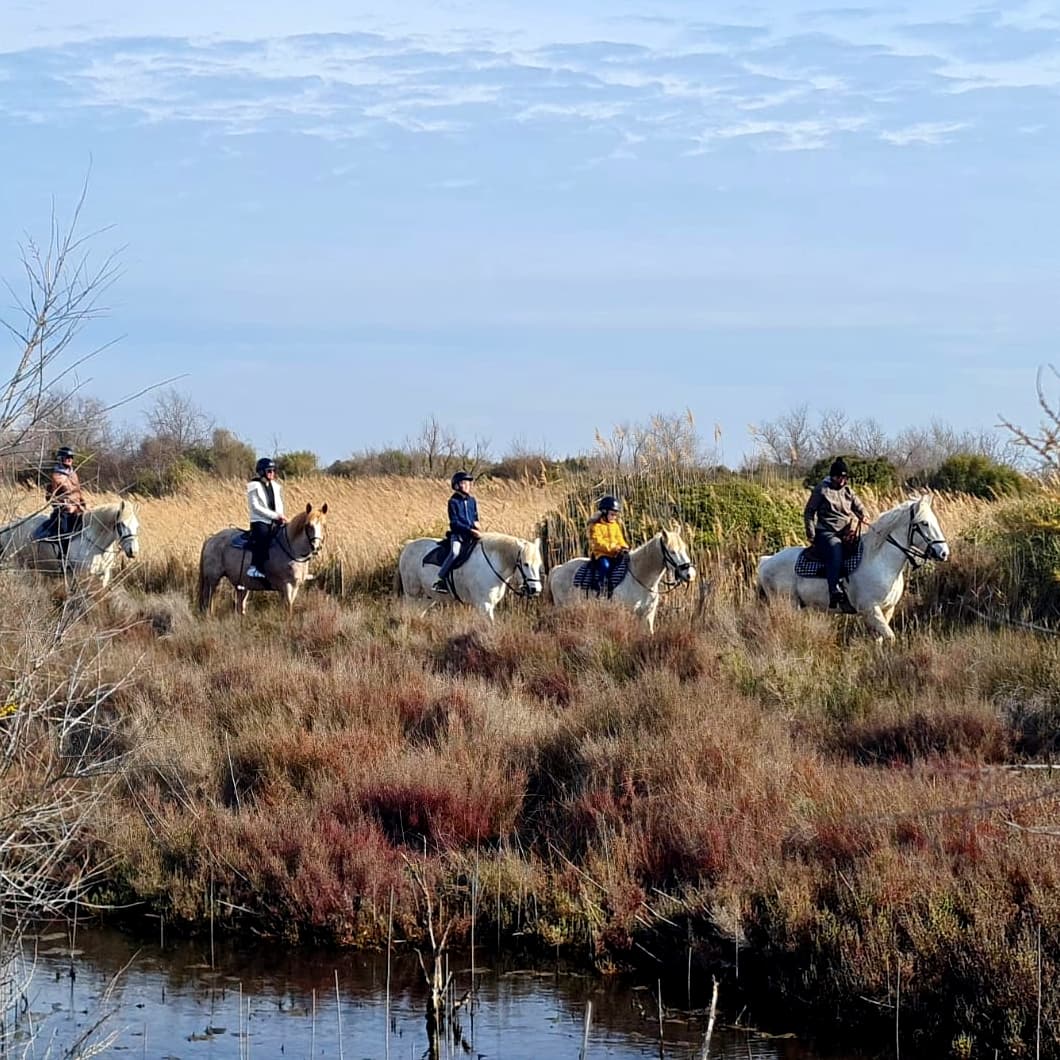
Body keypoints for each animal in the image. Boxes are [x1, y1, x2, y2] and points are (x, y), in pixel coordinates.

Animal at [0, 501, 140, 588]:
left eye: (137, 526)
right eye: (121, 524)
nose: (133, 551)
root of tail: (9, 528)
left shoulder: (103, 576)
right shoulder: (80, 575)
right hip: (15, 564)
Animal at [198, 503, 328, 615]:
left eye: (324, 525)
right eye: (308, 525)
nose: (316, 547)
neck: (291, 549)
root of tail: (211, 539)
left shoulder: (294, 586)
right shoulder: (286, 585)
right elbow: (288, 609)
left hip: (241, 585)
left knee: (240, 605)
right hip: (212, 579)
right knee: (208, 601)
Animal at [394, 533, 543, 620]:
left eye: (539, 564)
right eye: (525, 564)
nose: (536, 590)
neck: (493, 563)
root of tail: (408, 545)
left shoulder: (488, 605)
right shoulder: (484, 605)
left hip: (428, 597)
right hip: (412, 594)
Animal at [546, 529, 696, 634]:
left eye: (684, 549)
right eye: (672, 551)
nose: (690, 574)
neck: (640, 579)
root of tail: (557, 569)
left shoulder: (648, 614)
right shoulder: (627, 613)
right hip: (563, 608)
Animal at [756, 495, 950, 640]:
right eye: (924, 523)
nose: (944, 553)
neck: (880, 562)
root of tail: (766, 561)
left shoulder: (887, 609)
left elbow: (880, 639)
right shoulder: (870, 610)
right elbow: (890, 637)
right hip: (786, 604)